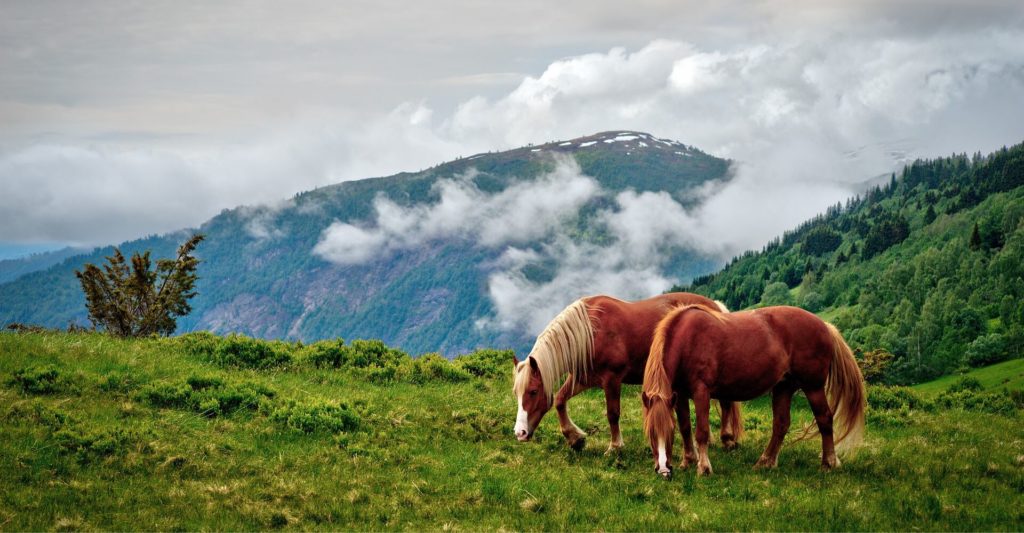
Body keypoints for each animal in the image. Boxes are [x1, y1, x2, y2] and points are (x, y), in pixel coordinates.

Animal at [516, 292, 741, 450]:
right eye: (517, 393)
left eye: (533, 391)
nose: (520, 433)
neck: (589, 331)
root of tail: (716, 306)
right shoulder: (583, 379)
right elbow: (560, 400)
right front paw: (575, 438)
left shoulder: (612, 379)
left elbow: (612, 413)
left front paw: (615, 446)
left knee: (725, 403)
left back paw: (727, 439)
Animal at [638, 302, 864, 478]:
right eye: (650, 433)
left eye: (668, 433)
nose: (663, 470)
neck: (687, 339)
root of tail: (825, 326)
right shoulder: (680, 395)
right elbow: (685, 427)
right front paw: (688, 461)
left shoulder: (701, 392)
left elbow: (701, 431)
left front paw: (704, 467)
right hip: (783, 387)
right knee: (781, 424)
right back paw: (766, 462)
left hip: (813, 387)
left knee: (824, 418)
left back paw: (828, 463)